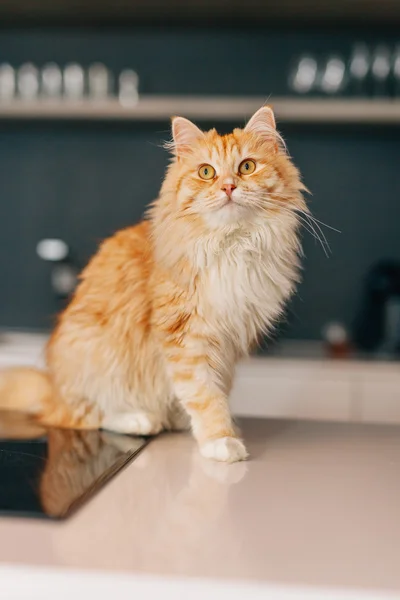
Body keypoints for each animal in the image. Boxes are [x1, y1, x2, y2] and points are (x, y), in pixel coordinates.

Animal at [0, 108, 306, 462]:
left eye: (246, 167)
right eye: (206, 172)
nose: (228, 187)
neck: (231, 245)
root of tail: (51, 387)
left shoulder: (229, 342)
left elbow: (218, 390)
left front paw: (218, 428)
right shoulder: (185, 337)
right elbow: (204, 395)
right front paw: (220, 440)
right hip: (93, 355)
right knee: (81, 415)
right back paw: (140, 419)